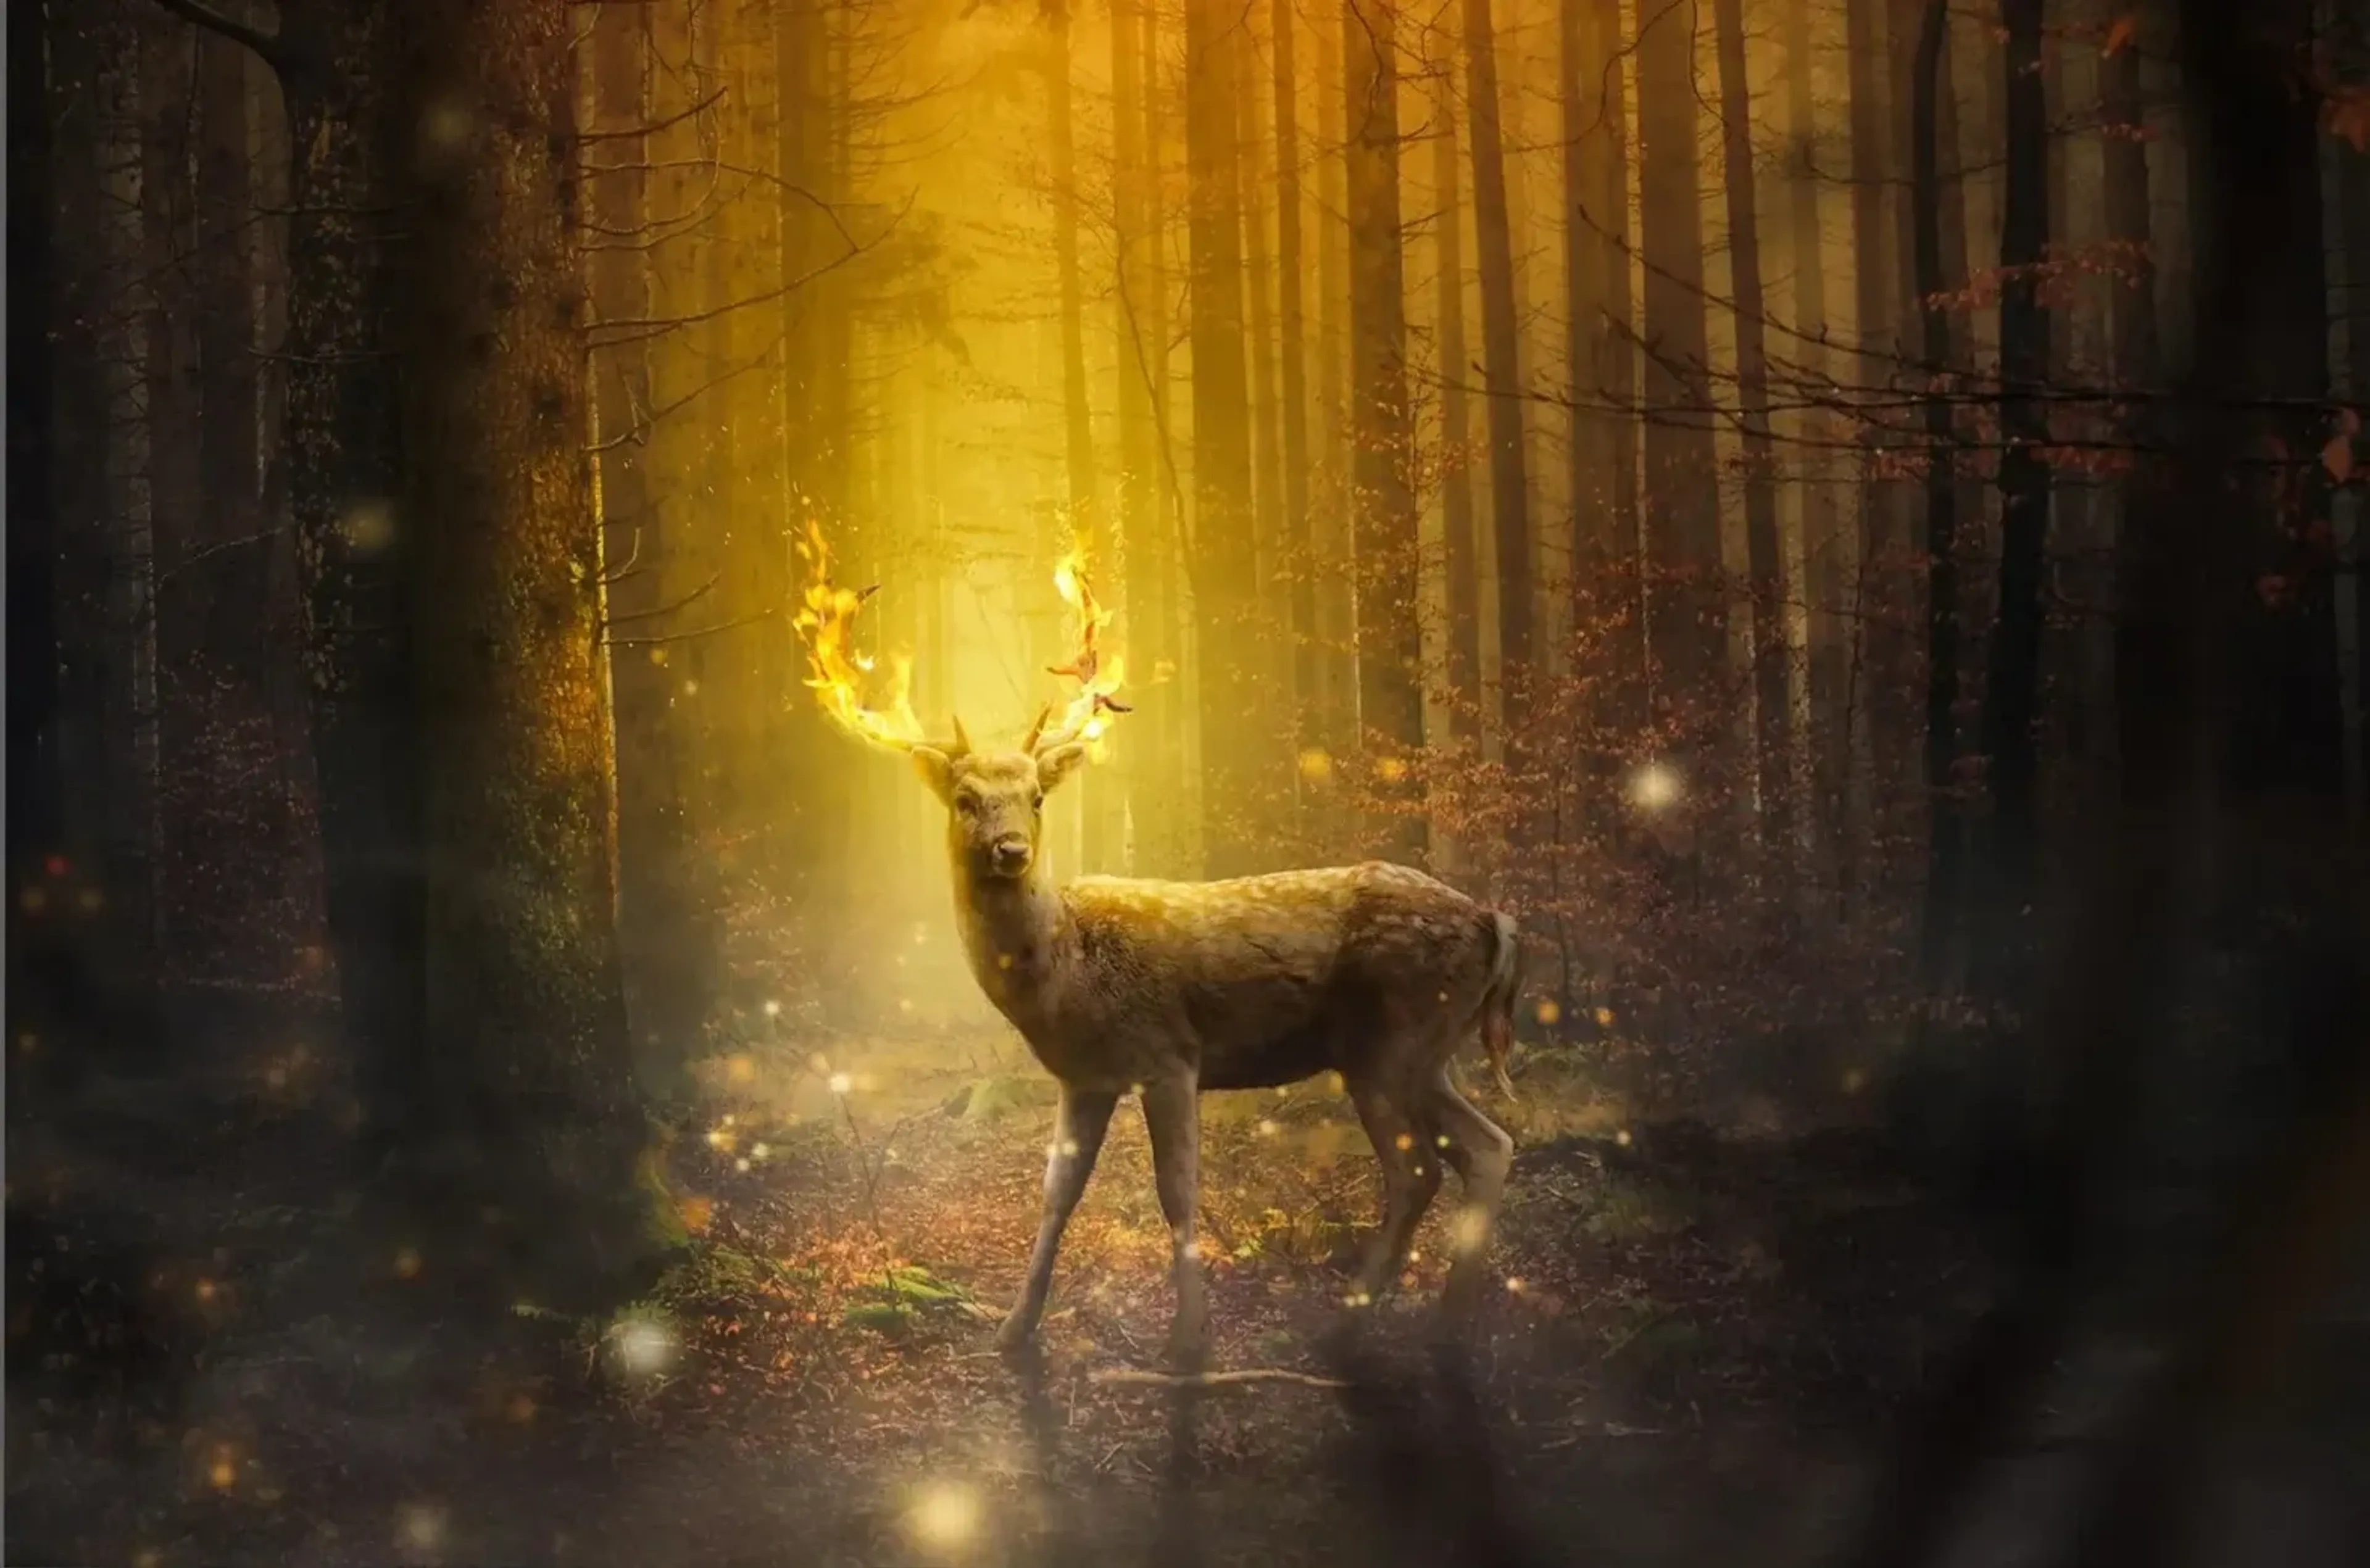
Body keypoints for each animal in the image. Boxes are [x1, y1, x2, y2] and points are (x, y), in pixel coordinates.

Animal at [792, 524, 1524, 1366]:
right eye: (967, 800)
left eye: (1035, 797)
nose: (1011, 850)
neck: (1067, 975)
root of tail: (1494, 923)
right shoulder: (1084, 1078)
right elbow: (1056, 1197)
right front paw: (1014, 1329)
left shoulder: (1171, 1055)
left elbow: (1178, 1190)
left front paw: (1188, 1342)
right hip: (1427, 1052)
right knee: (1489, 1146)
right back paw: (1447, 1324)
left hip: (1388, 1040)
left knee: (1416, 1170)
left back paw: (1348, 1325)